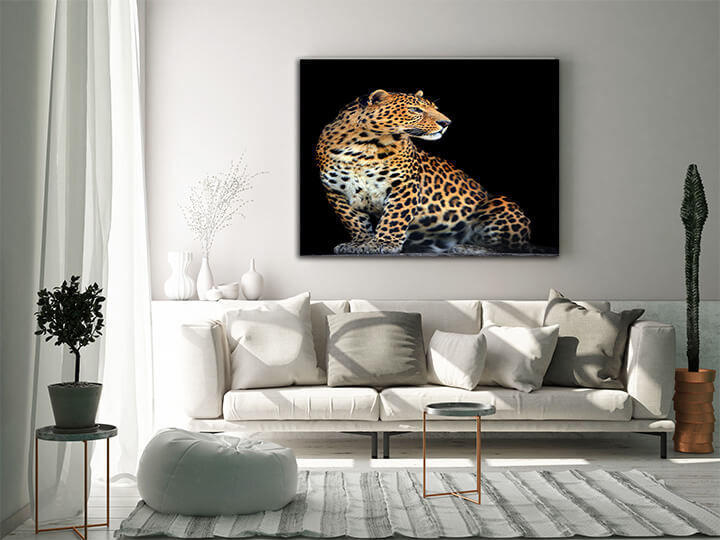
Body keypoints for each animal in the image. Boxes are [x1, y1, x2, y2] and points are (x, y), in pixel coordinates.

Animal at [315, 89, 531, 255]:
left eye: (435, 109)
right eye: (414, 110)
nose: (446, 123)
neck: (363, 146)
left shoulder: (404, 184)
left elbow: (394, 216)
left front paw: (383, 243)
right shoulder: (335, 191)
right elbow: (353, 220)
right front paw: (361, 242)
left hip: (500, 203)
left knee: (511, 247)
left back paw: (468, 248)